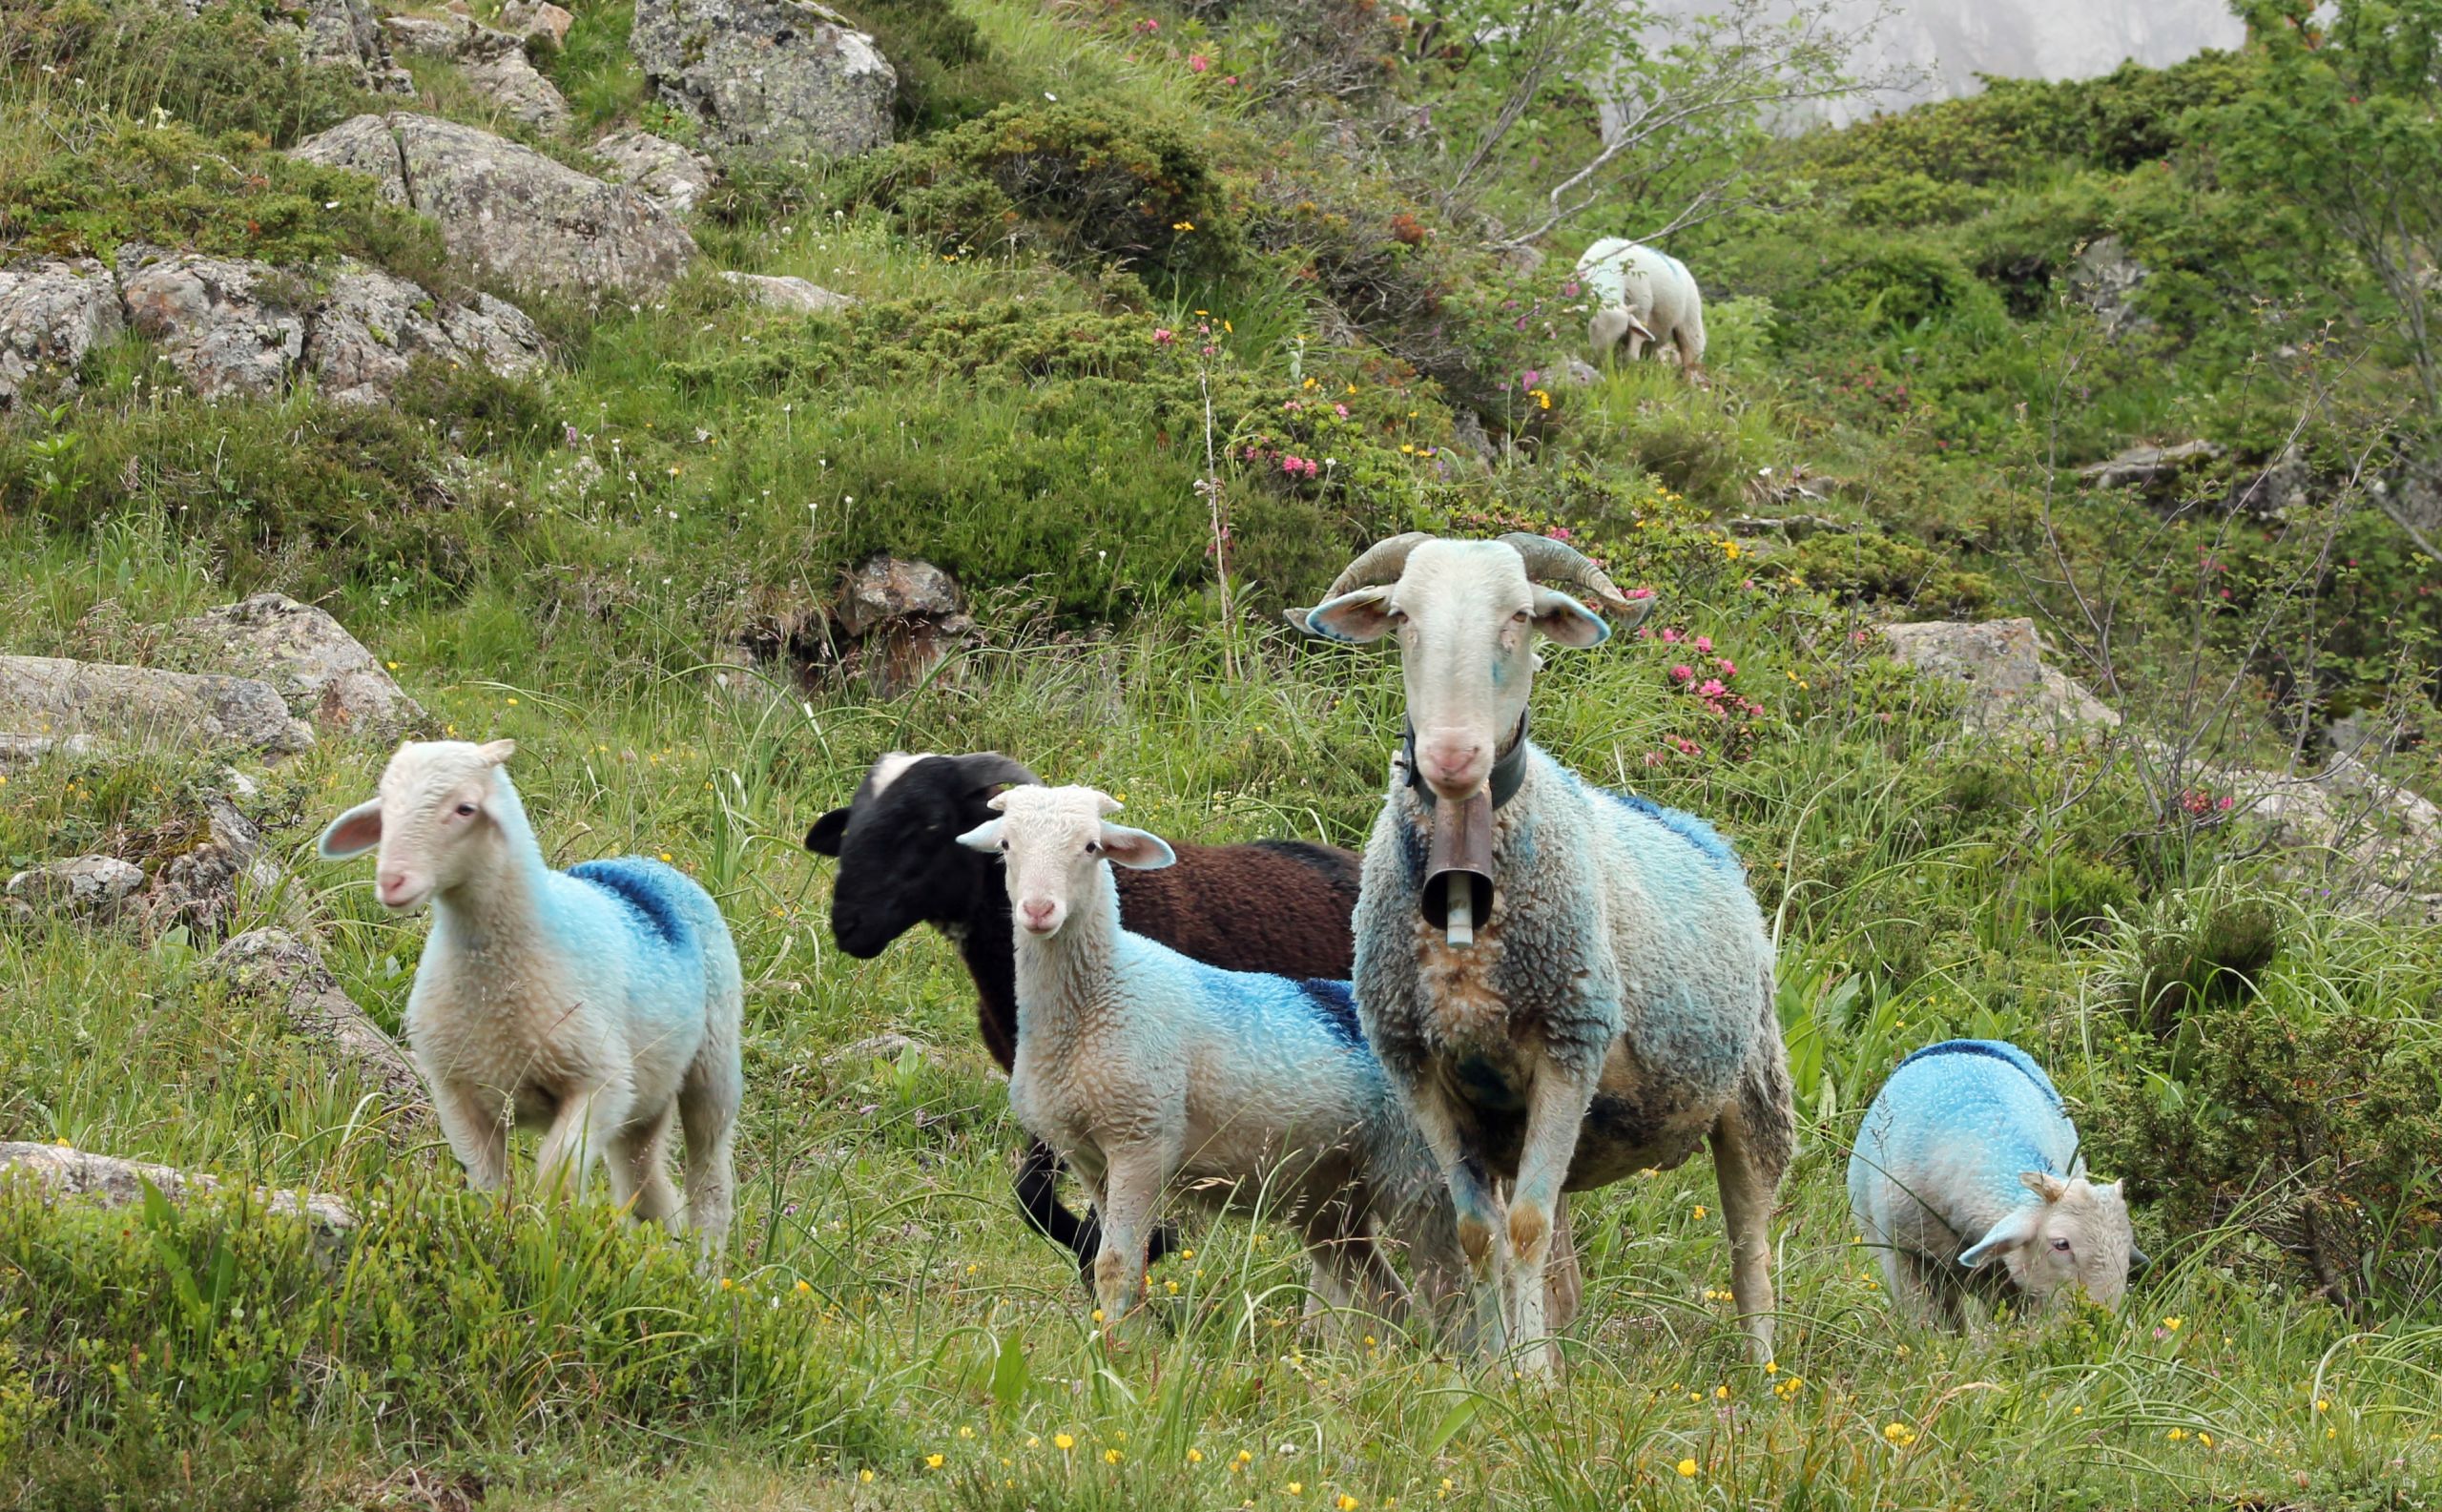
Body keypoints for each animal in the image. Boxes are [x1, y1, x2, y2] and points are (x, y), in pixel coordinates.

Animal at [324, 737, 742, 1251]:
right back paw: (666, 1251)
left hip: (713, 1067)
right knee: (644, 1180)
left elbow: (554, 1176)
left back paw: (704, 1263)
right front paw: (494, 1233)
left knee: (710, 1182)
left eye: (465, 808)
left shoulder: (601, 1082)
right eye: (385, 808)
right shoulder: (457, 1091)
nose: (392, 881)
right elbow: (485, 1185)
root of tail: (647, 867)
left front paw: (548, 1236)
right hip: (647, 1096)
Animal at [957, 786, 1465, 1338]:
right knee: (1387, 1295)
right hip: (1328, 1192)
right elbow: (1105, 1256)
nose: (1038, 910)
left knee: (1457, 1287)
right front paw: (1112, 1342)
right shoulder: (1087, 1156)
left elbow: (1115, 1265)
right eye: (1006, 845)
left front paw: (1120, 1351)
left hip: (1419, 1170)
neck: (1104, 992)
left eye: (1091, 847)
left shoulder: (1142, 1141)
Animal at [1572, 238, 1709, 381]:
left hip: (1691, 321)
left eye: (1621, 333)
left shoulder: (1642, 312)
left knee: (1692, 357)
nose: (1600, 361)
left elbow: (1631, 356)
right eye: (1592, 326)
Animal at [1846, 1035, 2139, 1328]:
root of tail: (1967, 1040)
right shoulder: (1904, 1258)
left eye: (2127, 1248)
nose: (2103, 1322)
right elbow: (1929, 1323)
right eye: (2061, 1244)